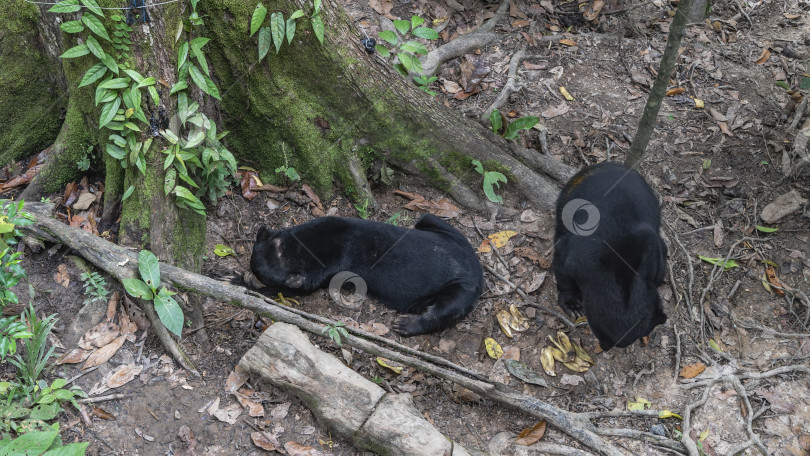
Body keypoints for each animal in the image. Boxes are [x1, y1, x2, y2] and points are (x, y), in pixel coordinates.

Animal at [240, 213, 480, 334]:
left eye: (261, 274)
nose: (252, 272)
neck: (304, 246)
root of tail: (477, 268)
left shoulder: (326, 271)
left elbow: (296, 289)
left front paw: (242, 281)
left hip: (462, 288)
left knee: (444, 310)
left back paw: (404, 325)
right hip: (441, 228)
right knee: (429, 217)